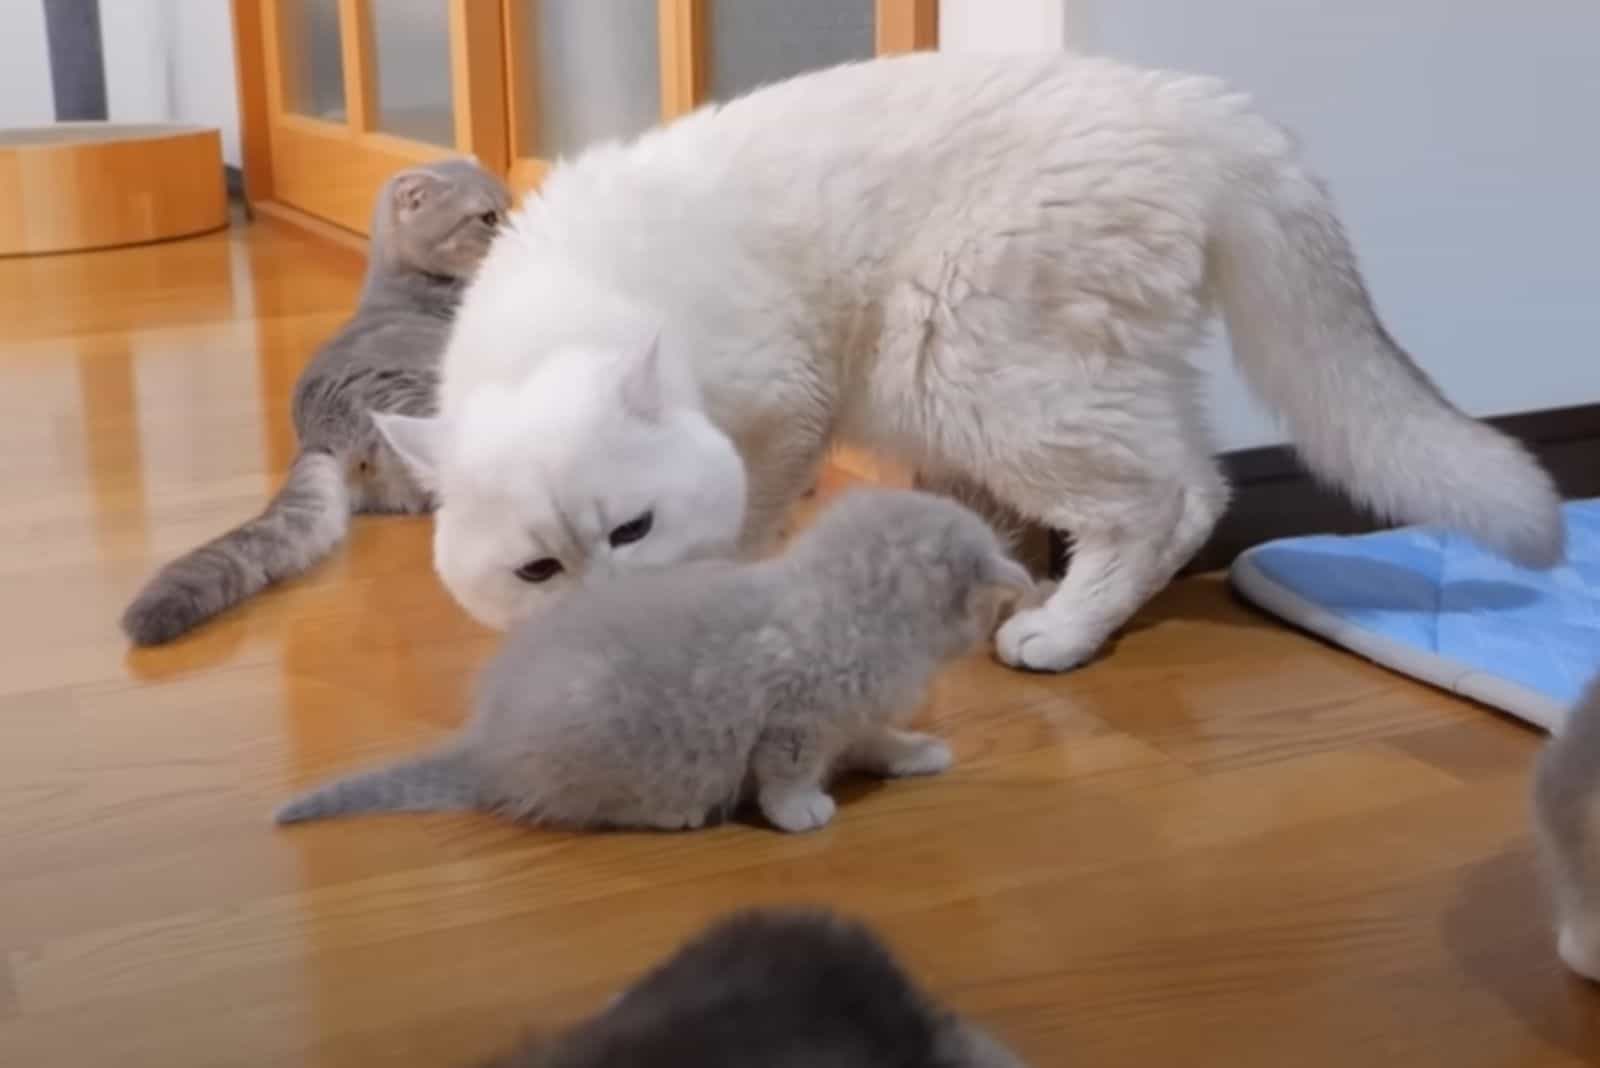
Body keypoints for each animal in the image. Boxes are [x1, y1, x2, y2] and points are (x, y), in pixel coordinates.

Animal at [270, 486, 1030, 831]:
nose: (982, 629)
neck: (845, 606)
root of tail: (488, 742)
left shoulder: (848, 714)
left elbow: (873, 736)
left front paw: (913, 751)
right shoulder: (794, 720)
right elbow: (785, 774)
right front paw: (798, 812)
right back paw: (675, 813)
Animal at [377, 54, 1561, 671]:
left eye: (633, 531)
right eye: (538, 571)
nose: (611, 608)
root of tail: (1203, 107)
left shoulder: (783, 418)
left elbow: (746, 528)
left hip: (967, 371)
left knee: (1164, 501)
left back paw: (1057, 631)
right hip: (1091, 374)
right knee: (1199, 481)